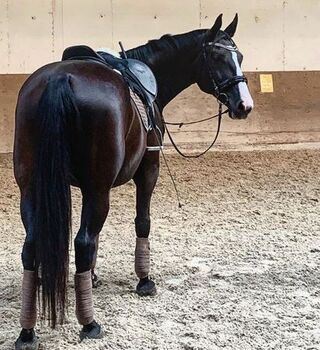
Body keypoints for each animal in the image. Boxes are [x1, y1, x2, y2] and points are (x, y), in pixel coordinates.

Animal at [12, 14, 252, 350]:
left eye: (239, 56)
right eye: (218, 57)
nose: (244, 105)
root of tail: (61, 80)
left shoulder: (77, 187)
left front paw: (92, 277)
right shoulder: (148, 170)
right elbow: (142, 222)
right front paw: (144, 279)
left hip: (31, 187)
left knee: (33, 246)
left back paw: (27, 331)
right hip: (98, 187)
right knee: (82, 242)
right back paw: (89, 323)